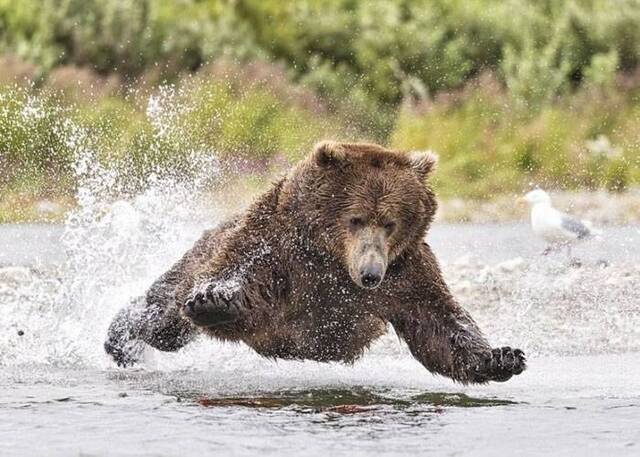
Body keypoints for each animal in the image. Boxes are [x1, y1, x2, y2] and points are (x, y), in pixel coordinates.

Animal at [105, 141, 524, 382]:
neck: (331, 257)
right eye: (356, 218)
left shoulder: (406, 270)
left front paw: (503, 357)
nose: (370, 274)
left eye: (390, 222)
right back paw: (120, 340)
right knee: (163, 319)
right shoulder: (278, 246)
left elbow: (439, 324)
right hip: (198, 258)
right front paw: (214, 300)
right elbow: (241, 279)